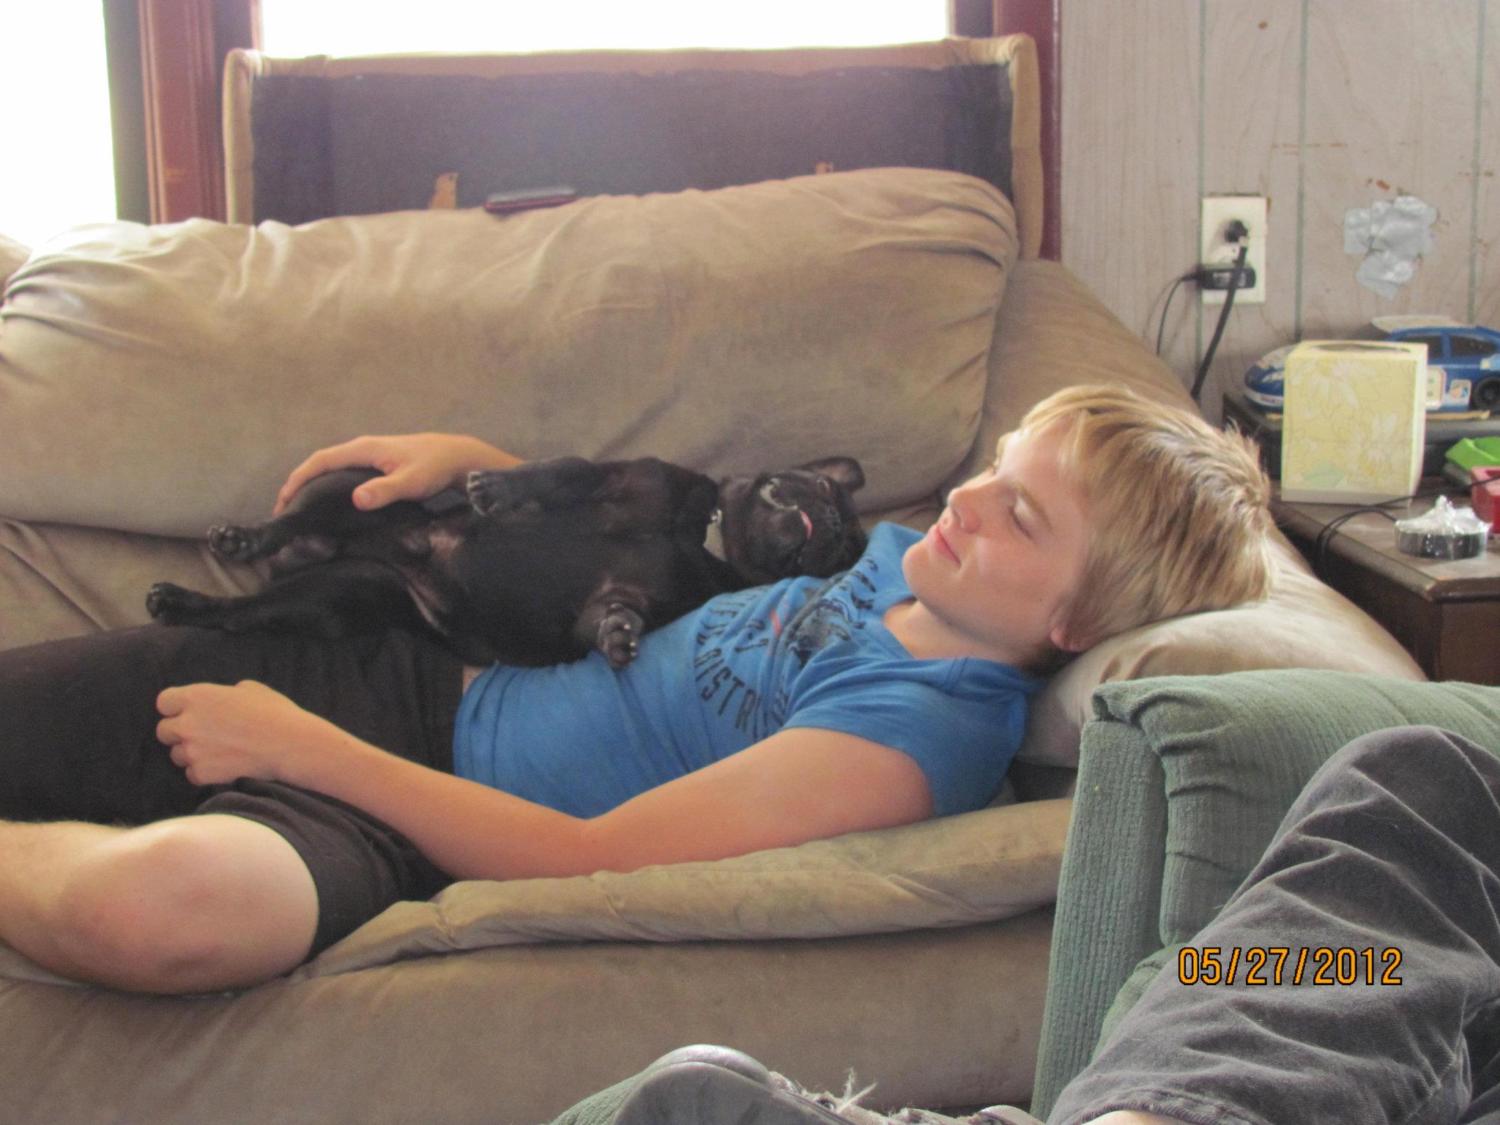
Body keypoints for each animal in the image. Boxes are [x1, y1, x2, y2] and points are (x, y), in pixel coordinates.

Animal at [147, 454, 866, 669]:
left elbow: (609, 614)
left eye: (846, 551)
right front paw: (496, 488)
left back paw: (186, 602)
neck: (700, 536)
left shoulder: (626, 596)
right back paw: (245, 540)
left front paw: (619, 634)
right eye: (820, 487)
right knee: (292, 522)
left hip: (337, 598)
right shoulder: (617, 477)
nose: (834, 525)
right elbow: (558, 474)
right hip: (355, 488)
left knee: (244, 613)